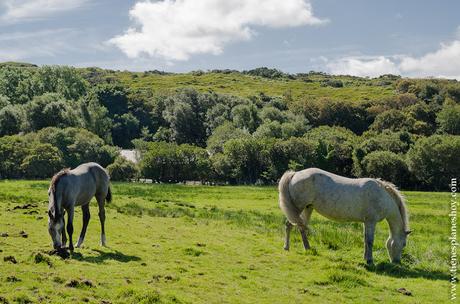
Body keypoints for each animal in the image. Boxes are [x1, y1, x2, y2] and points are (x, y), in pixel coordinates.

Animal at [278, 167, 412, 264]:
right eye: (404, 244)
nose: (396, 262)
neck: (382, 196)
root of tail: (295, 174)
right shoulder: (371, 222)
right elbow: (370, 241)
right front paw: (370, 261)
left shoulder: (366, 222)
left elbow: (365, 240)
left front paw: (365, 258)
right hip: (298, 208)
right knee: (290, 225)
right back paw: (287, 247)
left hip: (308, 208)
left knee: (300, 227)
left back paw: (307, 248)